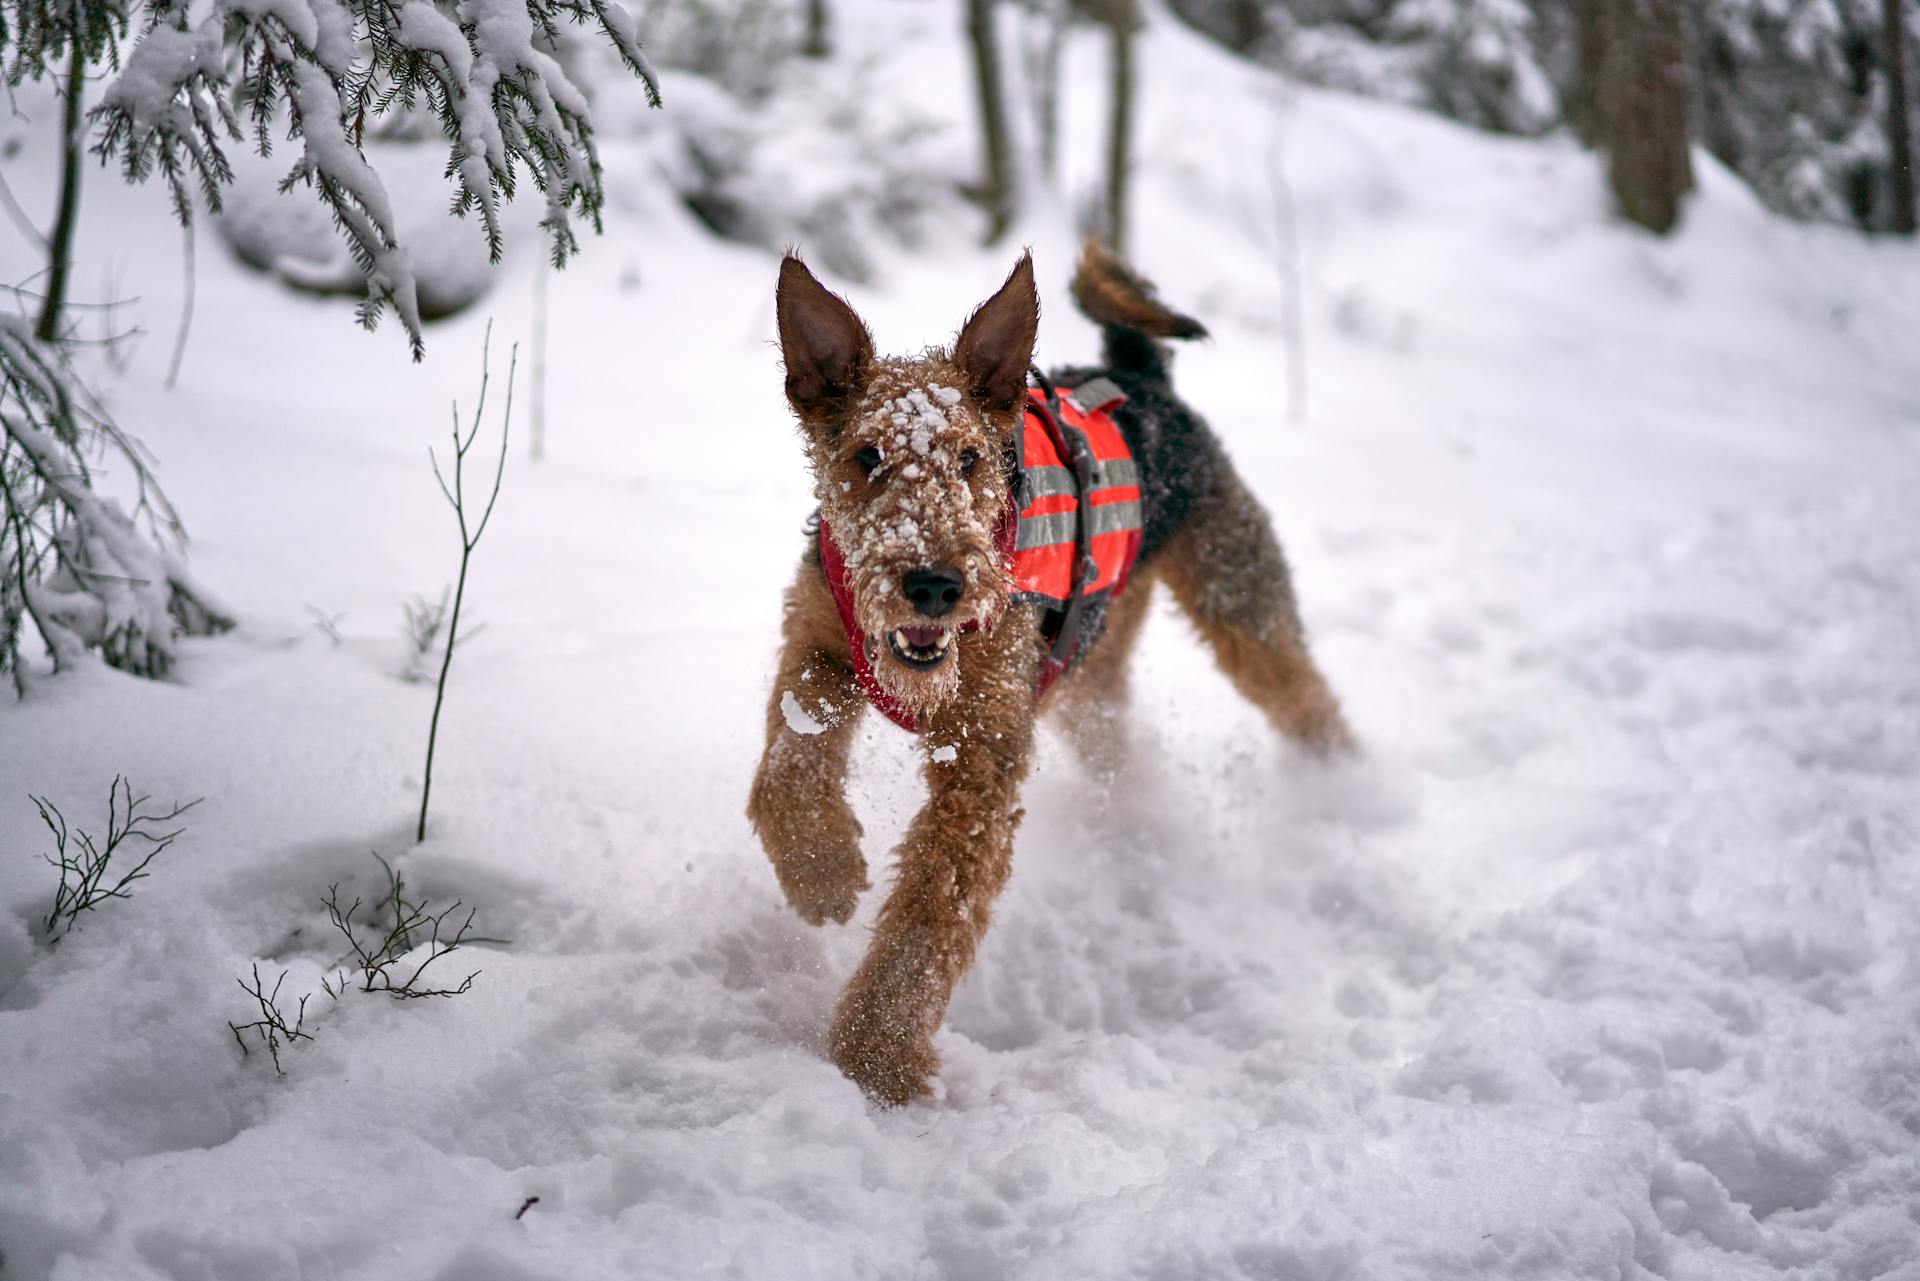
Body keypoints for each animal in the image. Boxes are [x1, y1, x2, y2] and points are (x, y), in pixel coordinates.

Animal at [744, 240, 1351, 1106]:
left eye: (970, 458)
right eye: (868, 456)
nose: (935, 584)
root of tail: (1142, 376)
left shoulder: (982, 753)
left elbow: (930, 909)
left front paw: (875, 1060)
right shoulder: (821, 642)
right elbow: (785, 770)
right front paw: (823, 874)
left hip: (1240, 604)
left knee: (1310, 701)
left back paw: (1349, 798)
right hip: (1087, 676)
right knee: (1123, 743)